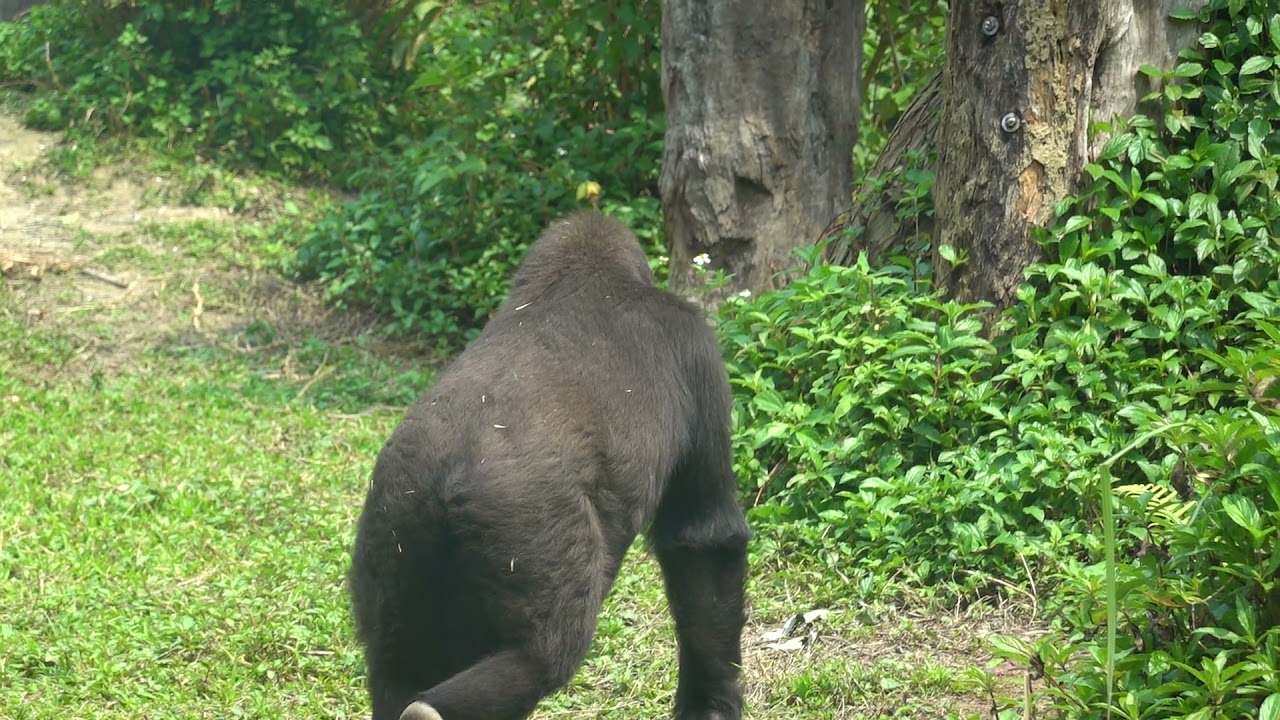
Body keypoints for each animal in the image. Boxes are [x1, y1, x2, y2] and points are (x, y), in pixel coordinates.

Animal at [347, 210, 752, 720]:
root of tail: (444, 473)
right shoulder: (694, 342)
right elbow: (703, 539)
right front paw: (713, 700)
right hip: (524, 522)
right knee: (544, 653)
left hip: (394, 516)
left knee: (396, 663)